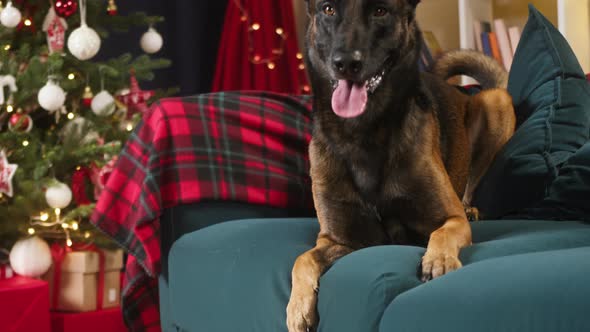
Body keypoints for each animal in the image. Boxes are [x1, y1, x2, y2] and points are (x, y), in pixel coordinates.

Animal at [286, 0, 520, 332]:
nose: (346, 63)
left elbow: (442, 233)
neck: (363, 133)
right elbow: (302, 258)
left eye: (380, 11)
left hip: (496, 102)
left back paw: (471, 208)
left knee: (471, 185)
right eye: (328, 9)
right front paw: (297, 308)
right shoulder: (341, 240)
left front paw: (439, 261)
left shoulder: (450, 219)